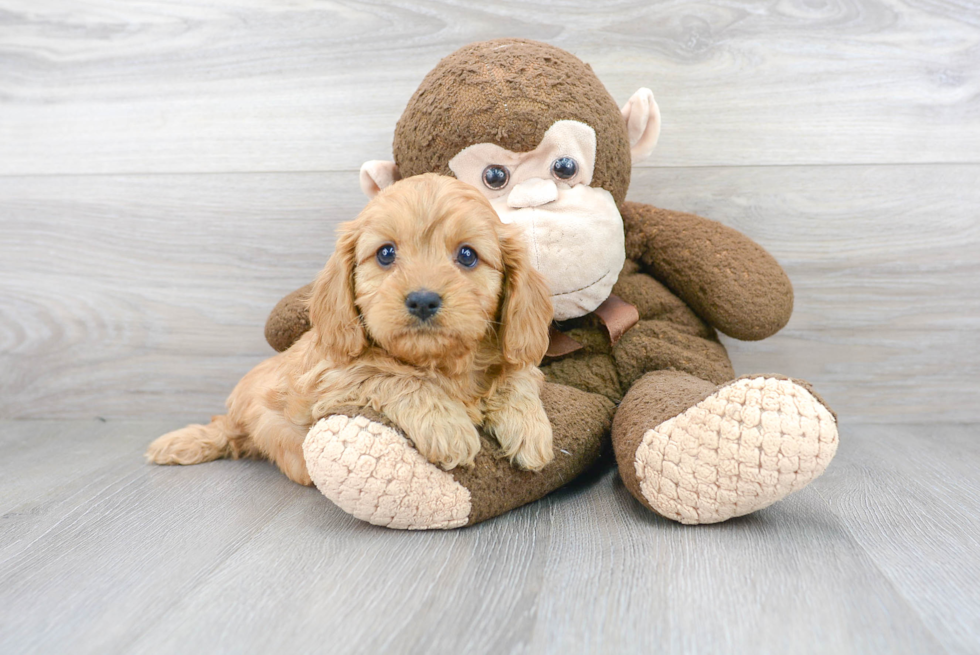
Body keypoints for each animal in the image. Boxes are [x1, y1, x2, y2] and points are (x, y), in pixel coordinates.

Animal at [146, 172, 560, 484]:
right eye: (386, 253)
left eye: (467, 255)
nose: (423, 300)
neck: (439, 363)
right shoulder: (331, 376)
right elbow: (388, 374)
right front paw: (447, 425)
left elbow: (517, 373)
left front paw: (529, 428)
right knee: (232, 433)